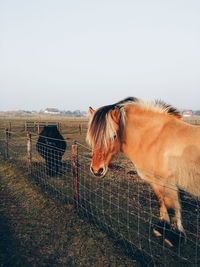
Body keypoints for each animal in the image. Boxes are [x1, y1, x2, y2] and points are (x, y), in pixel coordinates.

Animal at [86, 97, 200, 246]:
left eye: (114, 136)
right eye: (92, 137)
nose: (96, 170)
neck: (155, 138)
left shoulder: (168, 184)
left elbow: (172, 208)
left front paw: (173, 238)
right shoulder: (155, 182)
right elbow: (161, 202)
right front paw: (161, 228)